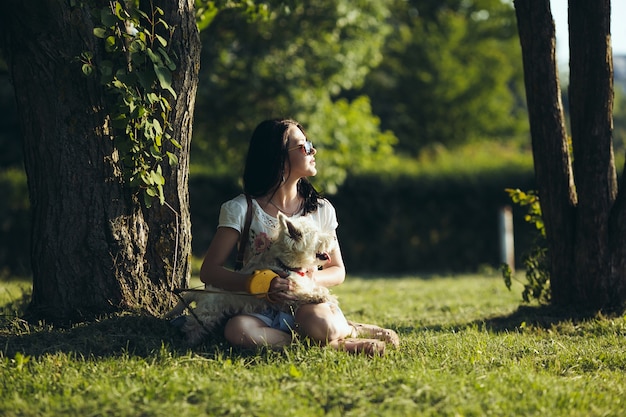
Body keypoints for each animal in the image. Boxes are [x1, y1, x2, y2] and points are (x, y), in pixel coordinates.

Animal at [167, 213, 336, 342]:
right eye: (317, 234)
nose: (334, 238)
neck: (285, 264)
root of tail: (200, 292)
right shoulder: (286, 293)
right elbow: (303, 295)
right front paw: (324, 296)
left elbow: (310, 286)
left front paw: (325, 295)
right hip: (208, 312)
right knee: (192, 326)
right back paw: (190, 342)